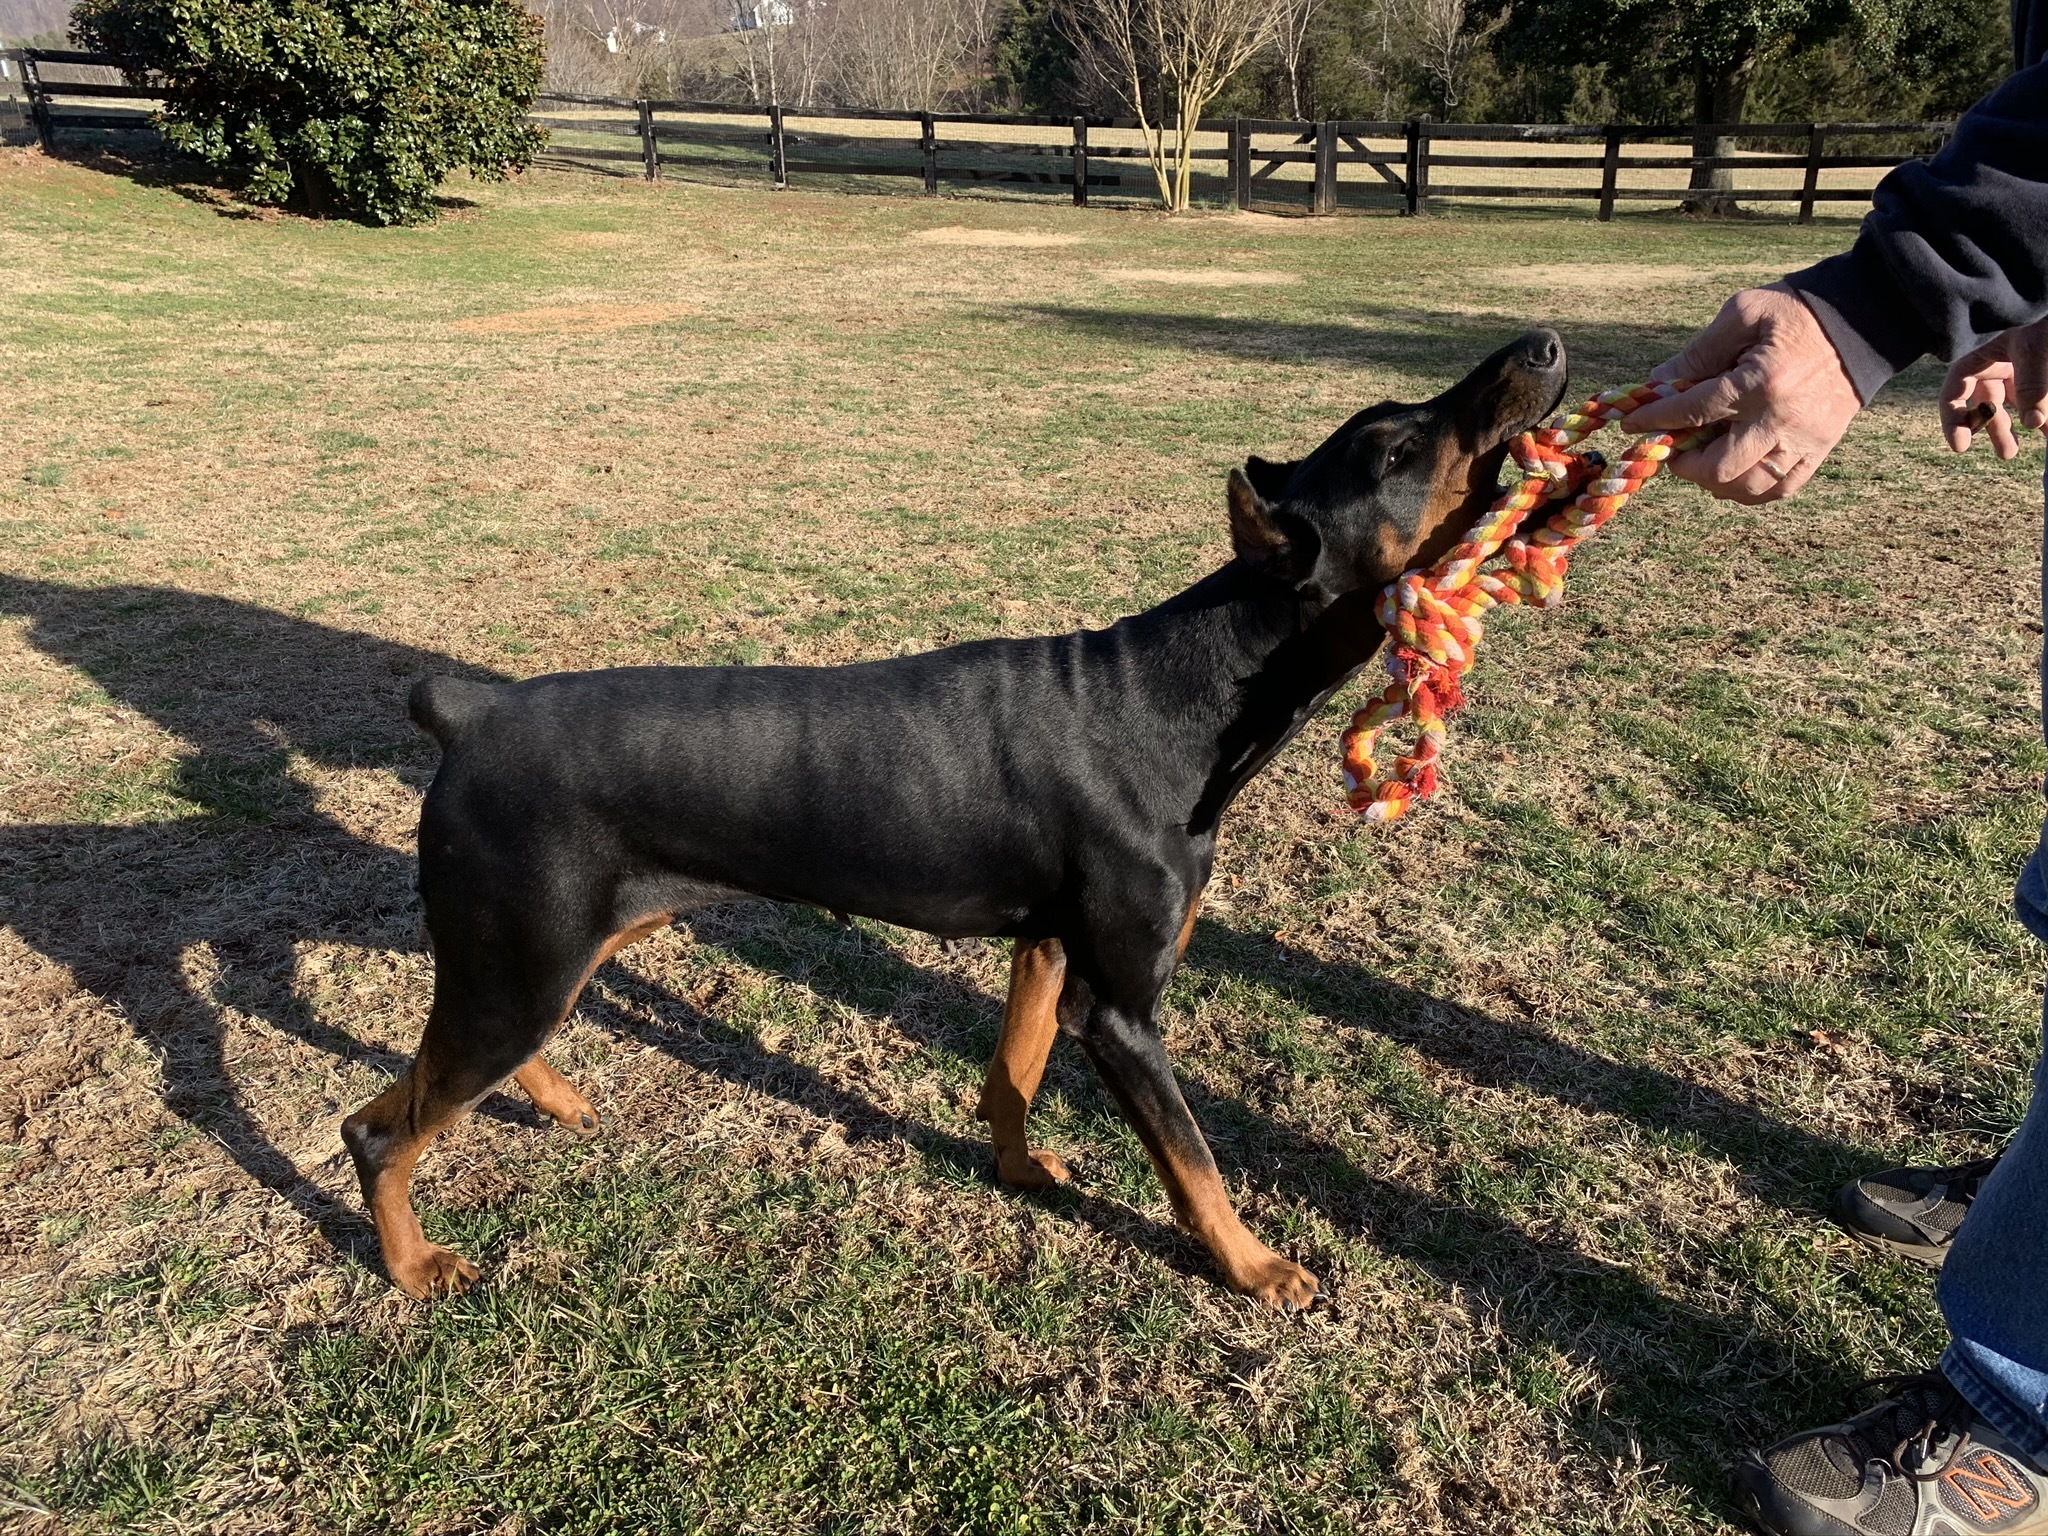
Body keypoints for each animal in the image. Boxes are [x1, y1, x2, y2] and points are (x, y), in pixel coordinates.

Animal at [348, 327, 1564, 1310]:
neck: (1189, 692)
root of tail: (471, 714)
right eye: (1397, 451)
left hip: (551, 954)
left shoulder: (1045, 950)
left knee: (453, 1071)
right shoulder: (1122, 1011)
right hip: (519, 960)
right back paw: (412, 1266)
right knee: (378, 1130)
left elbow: (1011, 1075)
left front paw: (1022, 1173)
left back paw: (554, 1103)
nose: (1543, 345)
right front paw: (1256, 1268)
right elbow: (1194, 1159)